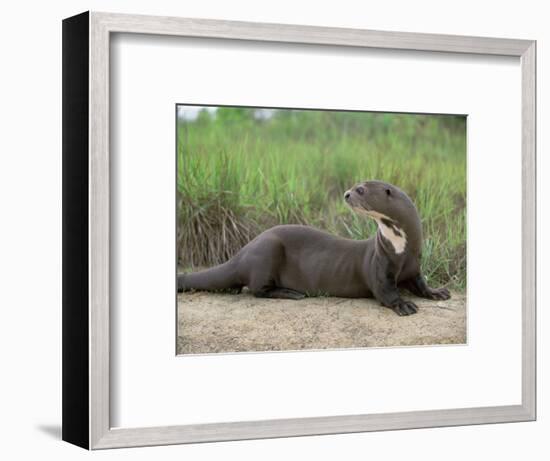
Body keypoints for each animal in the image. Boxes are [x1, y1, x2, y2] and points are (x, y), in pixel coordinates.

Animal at [179, 181, 450, 314]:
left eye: (361, 189)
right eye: (355, 186)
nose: (346, 194)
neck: (401, 250)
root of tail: (242, 252)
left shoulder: (414, 266)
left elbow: (421, 284)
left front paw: (438, 292)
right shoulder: (380, 267)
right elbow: (385, 292)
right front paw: (403, 305)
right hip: (267, 250)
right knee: (257, 289)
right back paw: (292, 293)